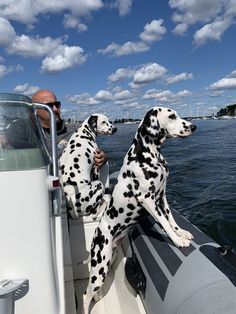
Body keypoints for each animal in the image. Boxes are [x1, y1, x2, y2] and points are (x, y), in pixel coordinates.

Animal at [83, 106, 197, 312]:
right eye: (172, 116)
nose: (193, 126)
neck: (148, 155)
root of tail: (97, 234)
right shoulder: (148, 200)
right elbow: (164, 223)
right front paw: (177, 241)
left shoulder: (162, 196)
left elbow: (171, 220)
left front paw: (182, 232)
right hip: (99, 267)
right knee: (86, 295)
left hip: (108, 263)